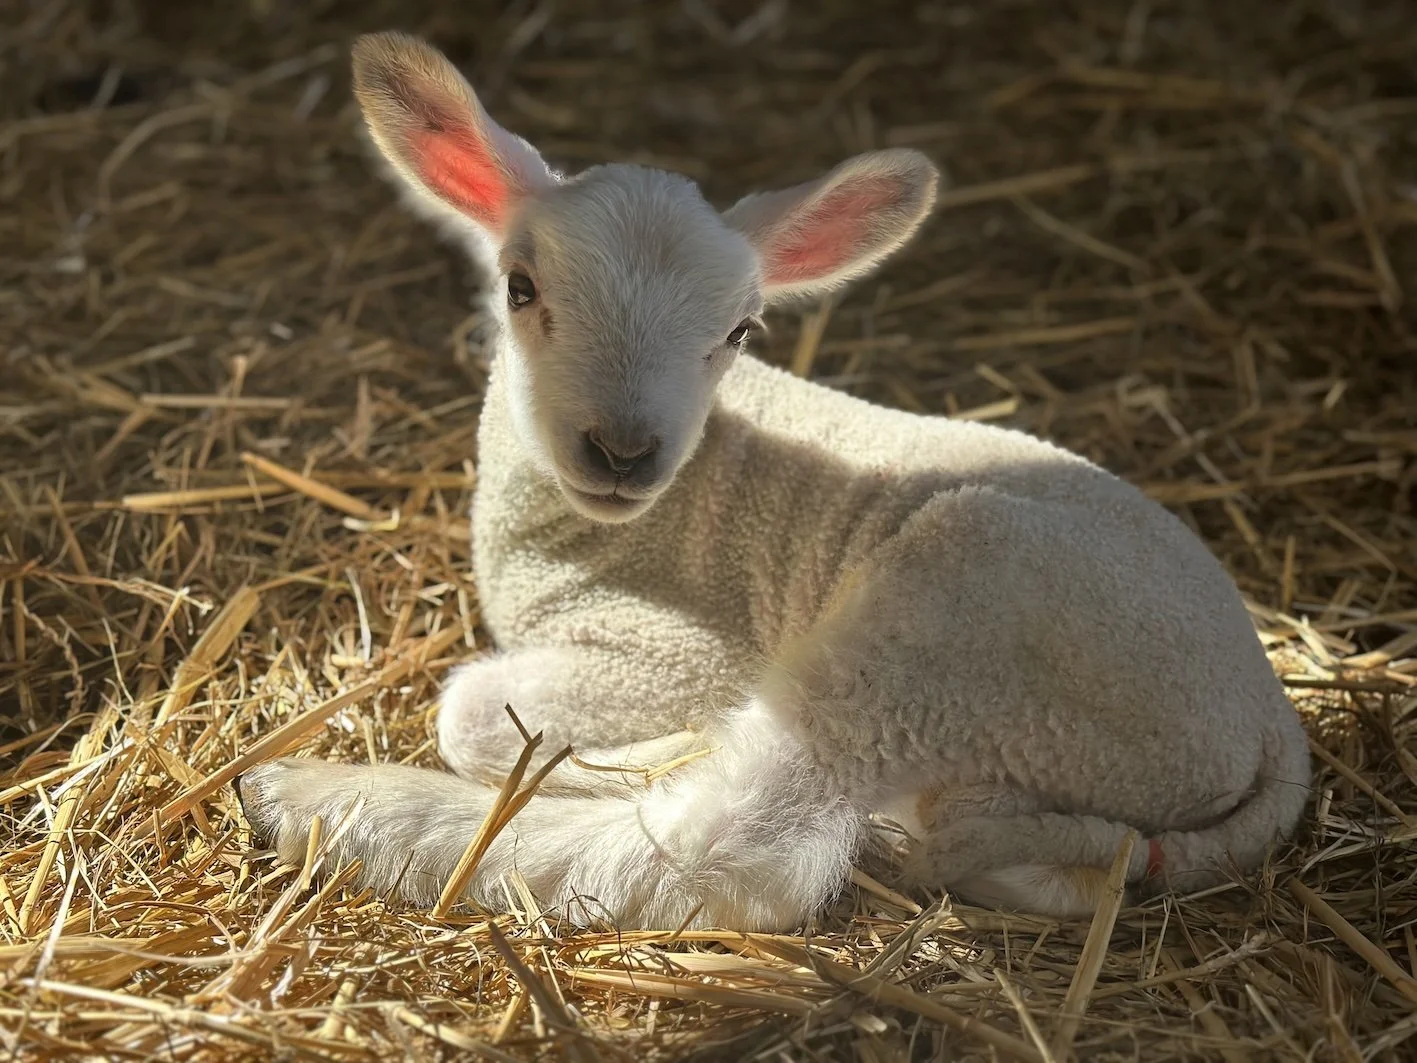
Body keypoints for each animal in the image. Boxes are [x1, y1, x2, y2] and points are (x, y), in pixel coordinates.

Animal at [235, 31, 1311, 932]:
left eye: (739, 330)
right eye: (520, 287)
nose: (623, 451)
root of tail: (1269, 730)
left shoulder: (683, 649)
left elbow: (465, 710)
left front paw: (607, 751)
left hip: (960, 622)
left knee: (731, 847)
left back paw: (317, 801)